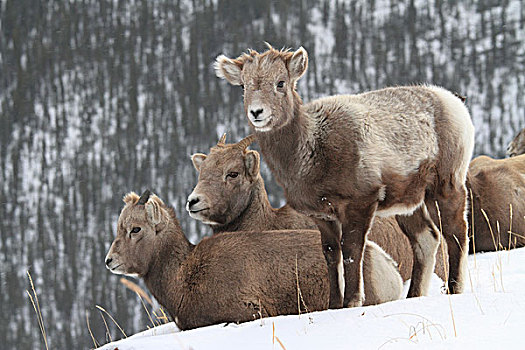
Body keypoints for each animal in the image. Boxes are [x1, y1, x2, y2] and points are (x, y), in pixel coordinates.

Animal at [215, 43, 472, 306]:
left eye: (280, 83)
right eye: (243, 86)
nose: (257, 112)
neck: (311, 153)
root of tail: (455, 103)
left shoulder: (360, 203)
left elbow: (351, 252)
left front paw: (352, 301)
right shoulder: (323, 216)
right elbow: (331, 256)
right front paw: (334, 304)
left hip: (446, 184)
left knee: (456, 233)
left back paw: (455, 289)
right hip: (409, 203)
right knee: (427, 240)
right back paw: (413, 295)